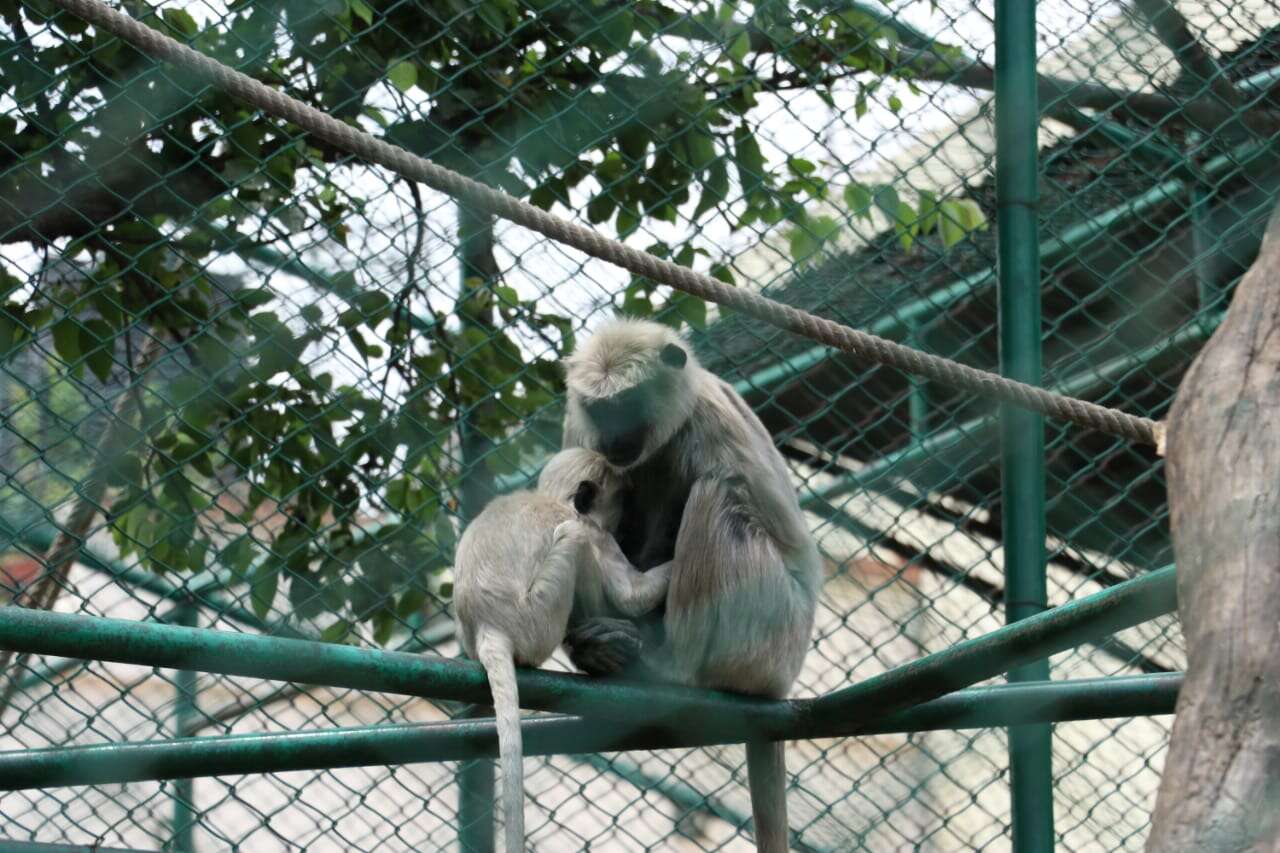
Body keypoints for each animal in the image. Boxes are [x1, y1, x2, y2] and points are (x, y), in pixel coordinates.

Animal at [450, 445, 670, 850]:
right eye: (622, 499)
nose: (624, 522)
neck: (552, 498)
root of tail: (489, 627)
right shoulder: (595, 532)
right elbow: (632, 596)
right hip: (537, 621)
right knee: (574, 540)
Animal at [563, 315, 824, 845]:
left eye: (626, 407)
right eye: (601, 411)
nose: (614, 439)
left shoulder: (706, 420)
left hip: (770, 630)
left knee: (716, 490)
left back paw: (669, 667)